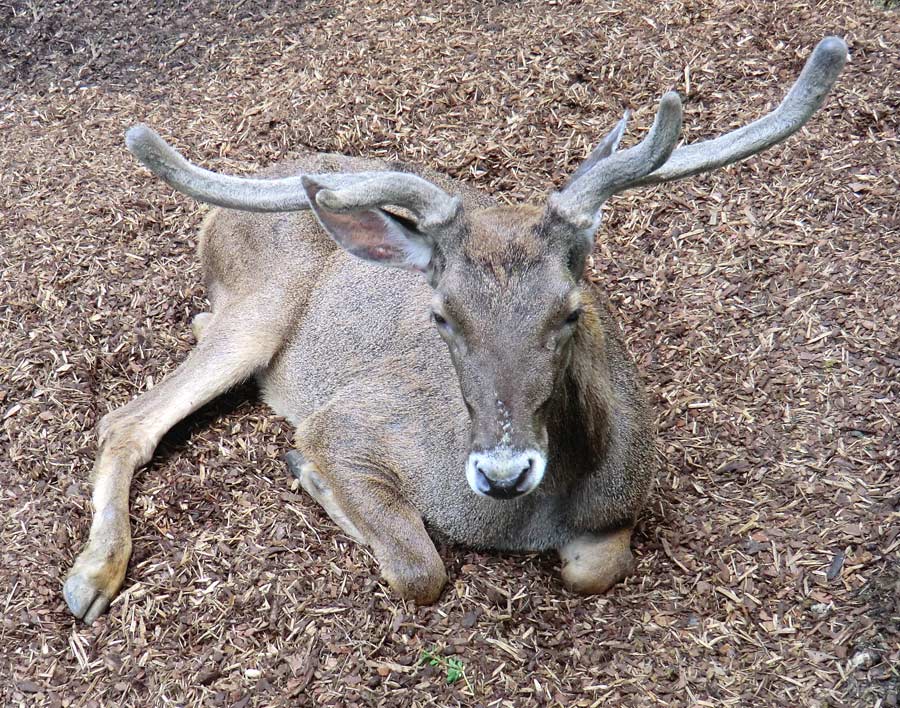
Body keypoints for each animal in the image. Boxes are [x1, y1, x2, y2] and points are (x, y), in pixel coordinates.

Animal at [65, 36, 852, 624]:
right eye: (439, 313)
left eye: (572, 309)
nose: (503, 471)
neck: (532, 518)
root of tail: (213, 221)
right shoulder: (347, 422)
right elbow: (420, 569)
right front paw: (309, 474)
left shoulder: (625, 501)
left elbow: (596, 567)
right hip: (260, 308)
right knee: (127, 418)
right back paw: (92, 578)